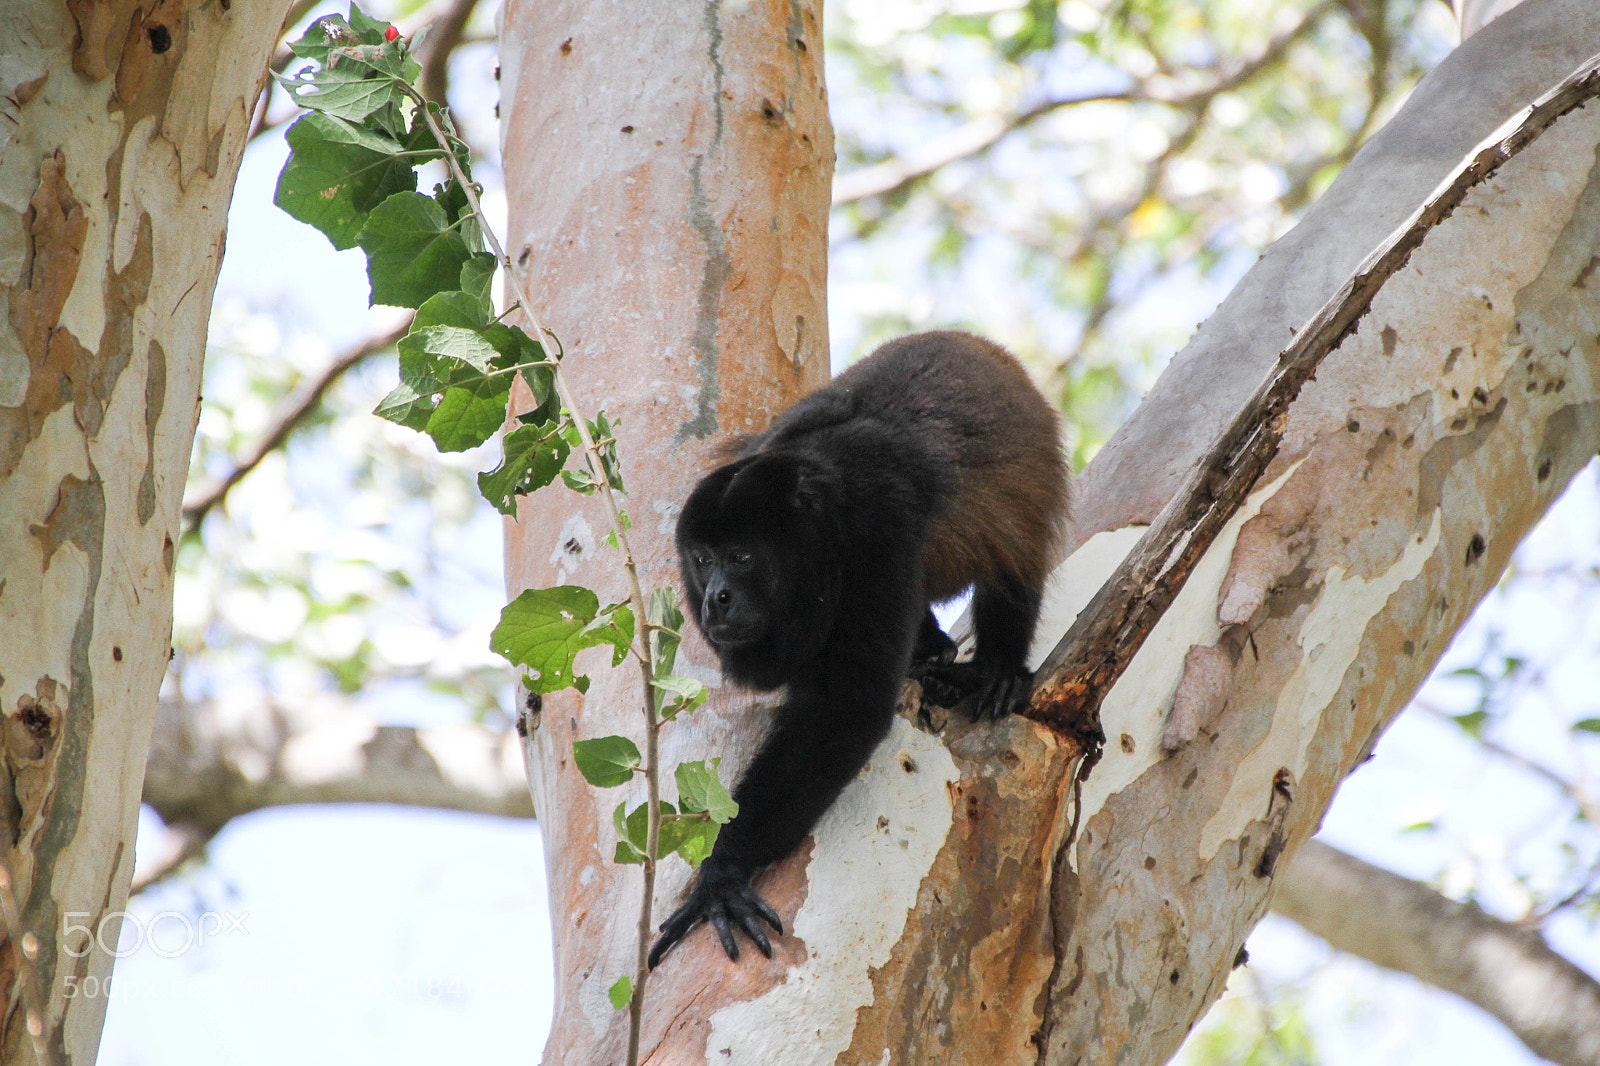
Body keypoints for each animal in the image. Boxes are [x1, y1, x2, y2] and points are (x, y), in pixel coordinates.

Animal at [648, 330, 1069, 968]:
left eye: (742, 557)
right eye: (702, 558)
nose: (716, 599)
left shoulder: (876, 532)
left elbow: (847, 707)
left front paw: (721, 874)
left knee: (1013, 561)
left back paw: (996, 670)